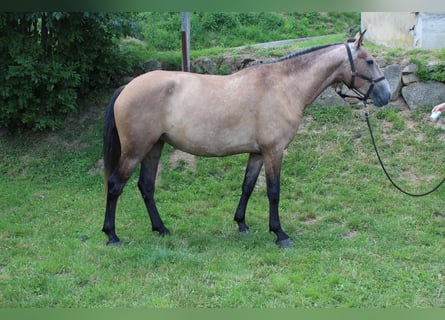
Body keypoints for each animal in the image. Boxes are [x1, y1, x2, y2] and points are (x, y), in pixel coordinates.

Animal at [100, 31, 388, 248]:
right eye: (370, 61)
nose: (385, 95)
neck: (283, 86)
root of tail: (127, 87)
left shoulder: (258, 153)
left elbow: (247, 187)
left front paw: (242, 224)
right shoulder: (274, 152)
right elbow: (273, 192)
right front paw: (280, 234)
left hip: (154, 147)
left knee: (146, 187)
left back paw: (161, 229)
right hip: (136, 150)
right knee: (115, 185)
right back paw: (112, 235)